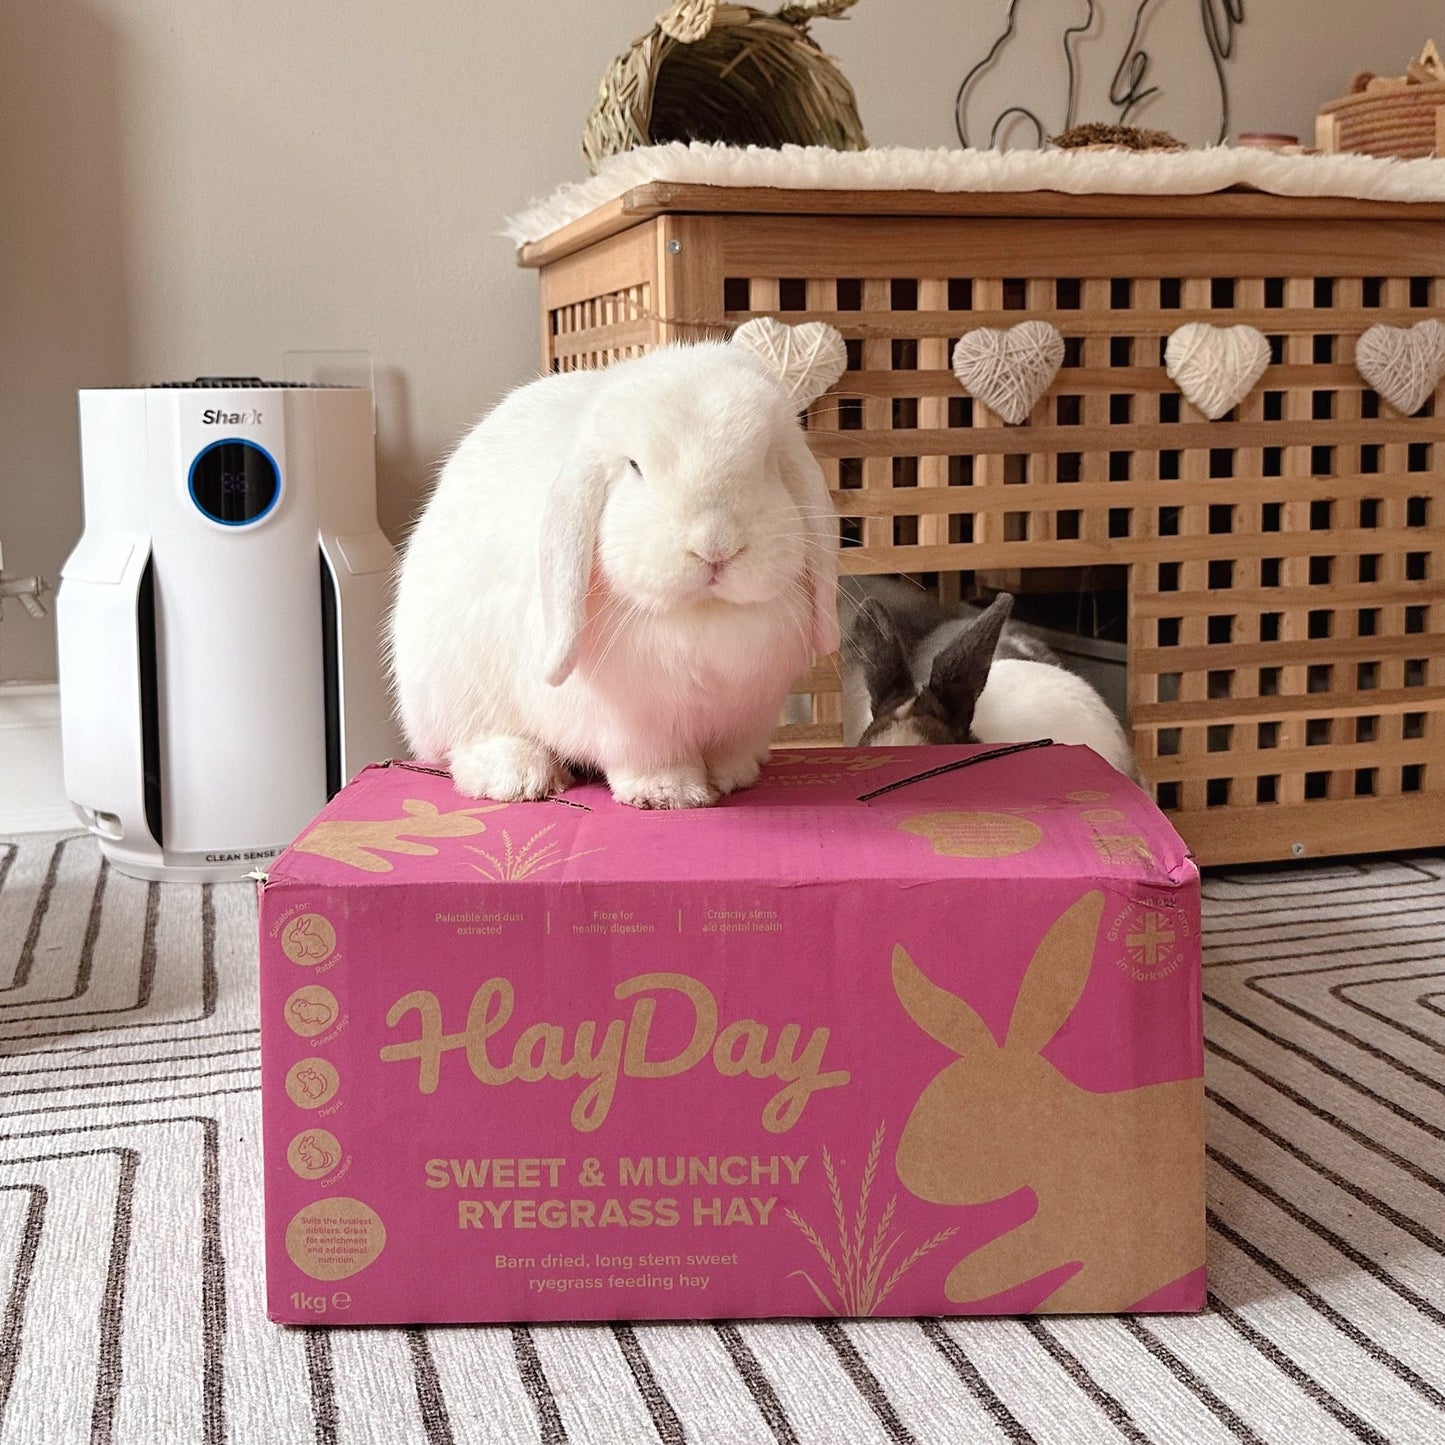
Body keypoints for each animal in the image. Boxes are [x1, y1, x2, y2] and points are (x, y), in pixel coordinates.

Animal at [390, 320, 849, 809]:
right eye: (635, 466)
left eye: (766, 463)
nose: (715, 546)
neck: (702, 615)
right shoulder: (635, 727)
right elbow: (653, 761)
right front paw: (670, 794)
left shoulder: (746, 714)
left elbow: (730, 753)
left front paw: (733, 777)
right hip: (456, 690)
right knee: (471, 742)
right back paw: (521, 777)